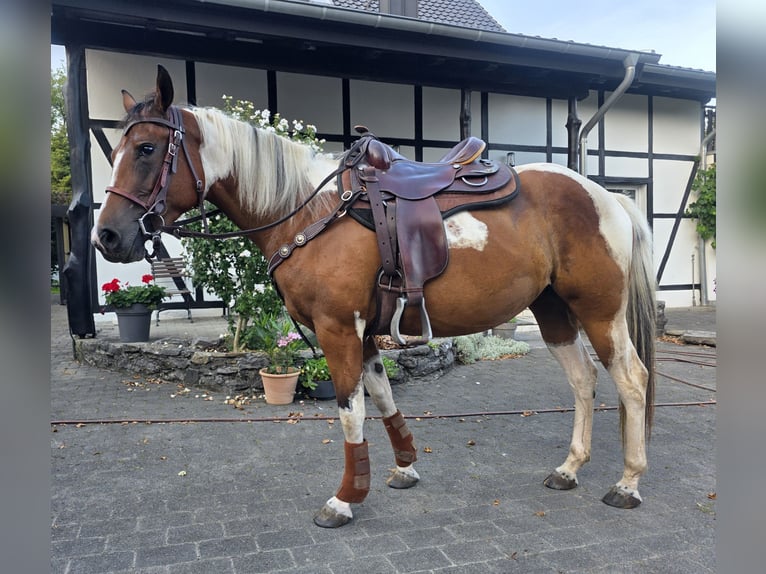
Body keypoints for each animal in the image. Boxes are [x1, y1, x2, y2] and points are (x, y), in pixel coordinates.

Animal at [92, 65, 656, 528]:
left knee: (631, 379)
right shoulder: (363, 334)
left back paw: (628, 483)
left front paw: (344, 499)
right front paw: (404, 468)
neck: (309, 210)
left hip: (600, 313)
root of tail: (606, 196)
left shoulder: (339, 328)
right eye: (113, 151)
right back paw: (569, 468)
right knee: (584, 381)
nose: (108, 238)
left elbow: (350, 411)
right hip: (554, 311)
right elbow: (382, 397)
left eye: (146, 149)